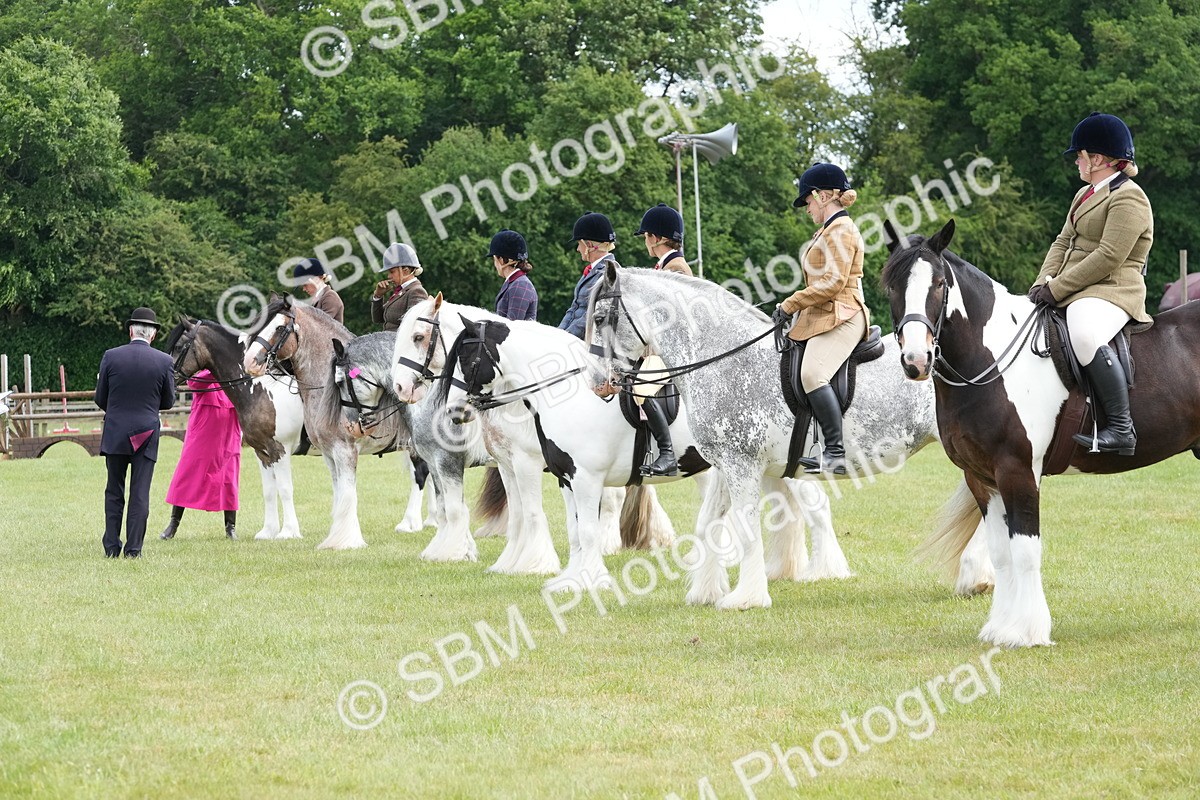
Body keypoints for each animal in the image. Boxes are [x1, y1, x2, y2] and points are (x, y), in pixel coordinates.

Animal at [242, 294, 426, 550]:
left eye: (279, 328)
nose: (250, 361)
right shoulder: (327, 452)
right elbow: (339, 492)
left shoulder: (343, 449)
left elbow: (348, 492)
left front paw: (347, 540)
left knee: (422, 475)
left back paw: (412, 523)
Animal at [391, 296, 693, 582]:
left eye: (418, 337)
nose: (400, 387)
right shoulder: (505, 464)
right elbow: (515, 515)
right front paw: (506, 562)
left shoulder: (520, 463)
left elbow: (527, 512)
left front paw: (532, 563)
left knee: (614, 498)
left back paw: (609, 544)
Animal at [588, 265, 964, 609]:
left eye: (601, 317)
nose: (596, 382)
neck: (722, 357)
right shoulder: (726, 465)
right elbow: (708, 523)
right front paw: (705, 592)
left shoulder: (741, 464)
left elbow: (746, 529)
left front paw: (747, 598)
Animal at [881, 219, 1200, 647]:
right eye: (892, 284)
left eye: (939, 284)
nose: (916, 361)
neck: (991, 359)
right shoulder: (982, 477)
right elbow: (1001, 553)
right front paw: (999, 629)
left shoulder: (1018, 471)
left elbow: (1025, 550)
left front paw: (1027, 632)